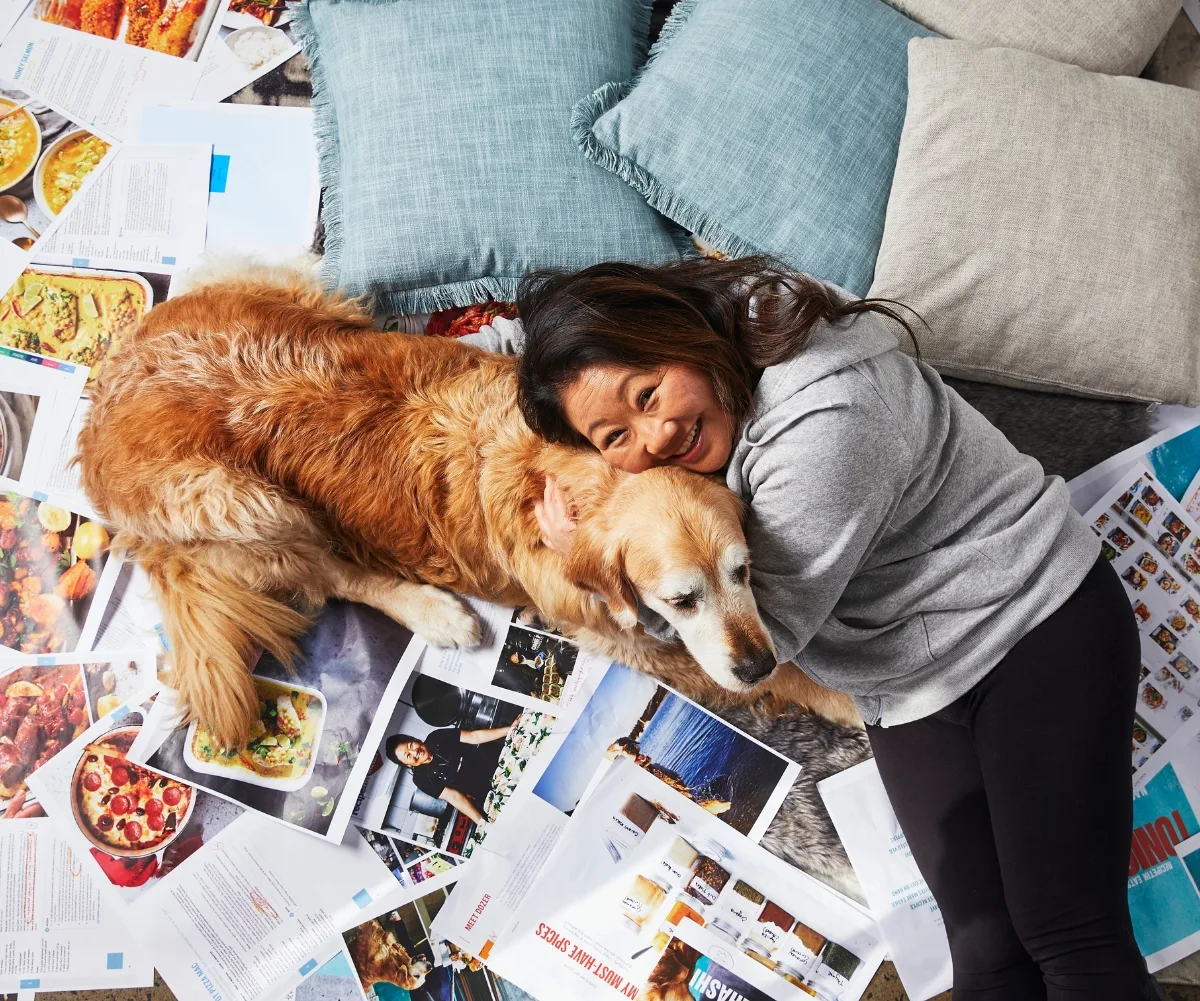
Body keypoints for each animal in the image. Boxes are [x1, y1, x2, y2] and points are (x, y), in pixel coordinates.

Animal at [77, 261, 864, 744]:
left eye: (743, 571)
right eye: (680, 599)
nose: (752, 662)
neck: (559, 470)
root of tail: (98, 409)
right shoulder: (622, 634)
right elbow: (792, 672)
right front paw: (849, 700)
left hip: (299, 287)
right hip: (244, 503)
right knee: (329, 573)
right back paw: (435, 612)